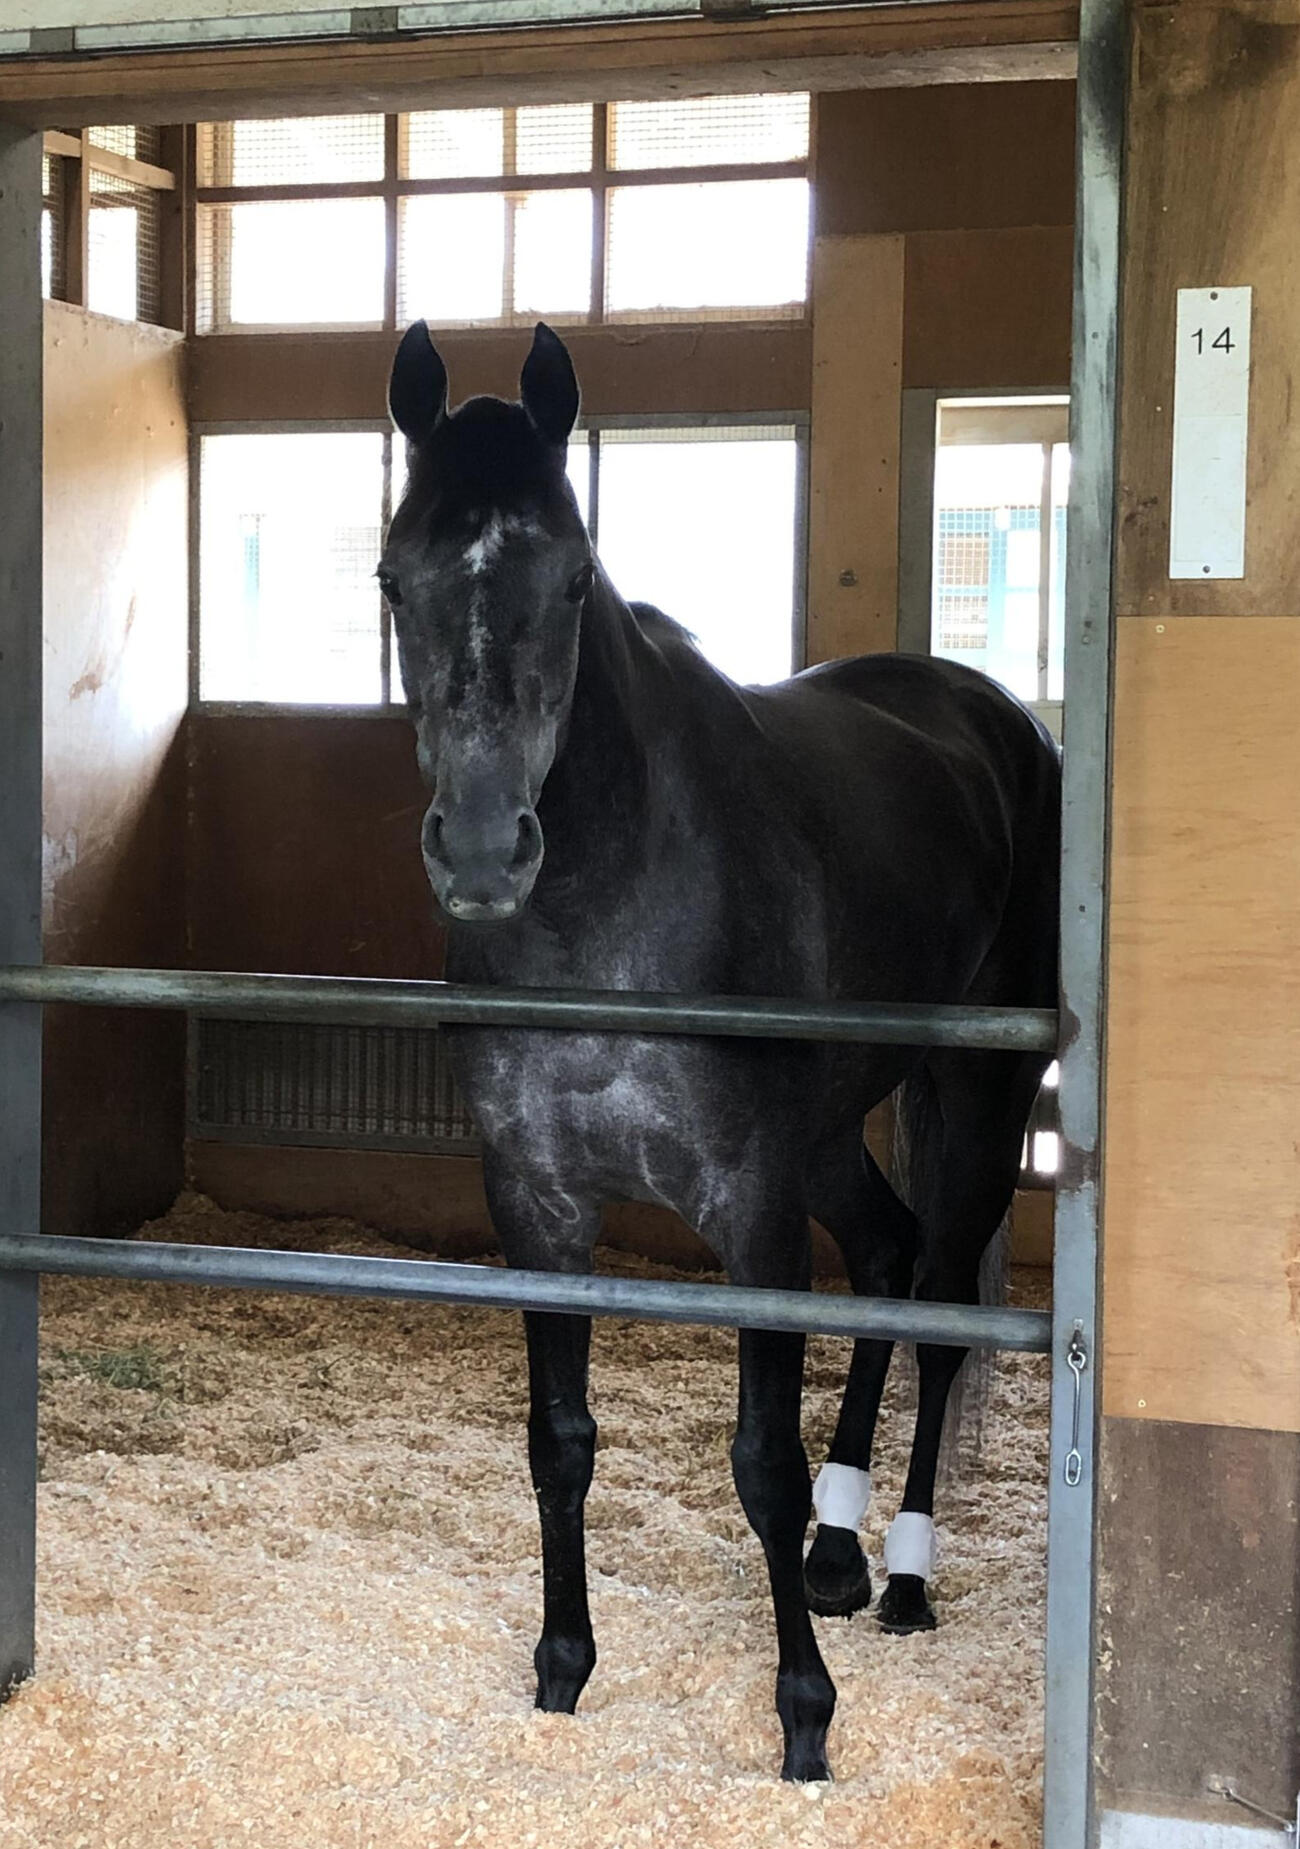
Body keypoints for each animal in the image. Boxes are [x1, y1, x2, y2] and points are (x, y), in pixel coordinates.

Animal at [378, 320, 1060, 1783]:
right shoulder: (540, 1203)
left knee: (936, 1309)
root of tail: (1000, 716)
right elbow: (559, 1443)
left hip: (978, 1096)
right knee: (888, 1254)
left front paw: (803, 1721)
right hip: (831, 1135)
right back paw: (839, 1558)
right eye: (395, 575)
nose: (482, 850)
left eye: (574, 577)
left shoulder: (749, 1205)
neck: (611, 901)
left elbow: (759, 1460)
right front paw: (562, 1672)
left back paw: (903, 1575)